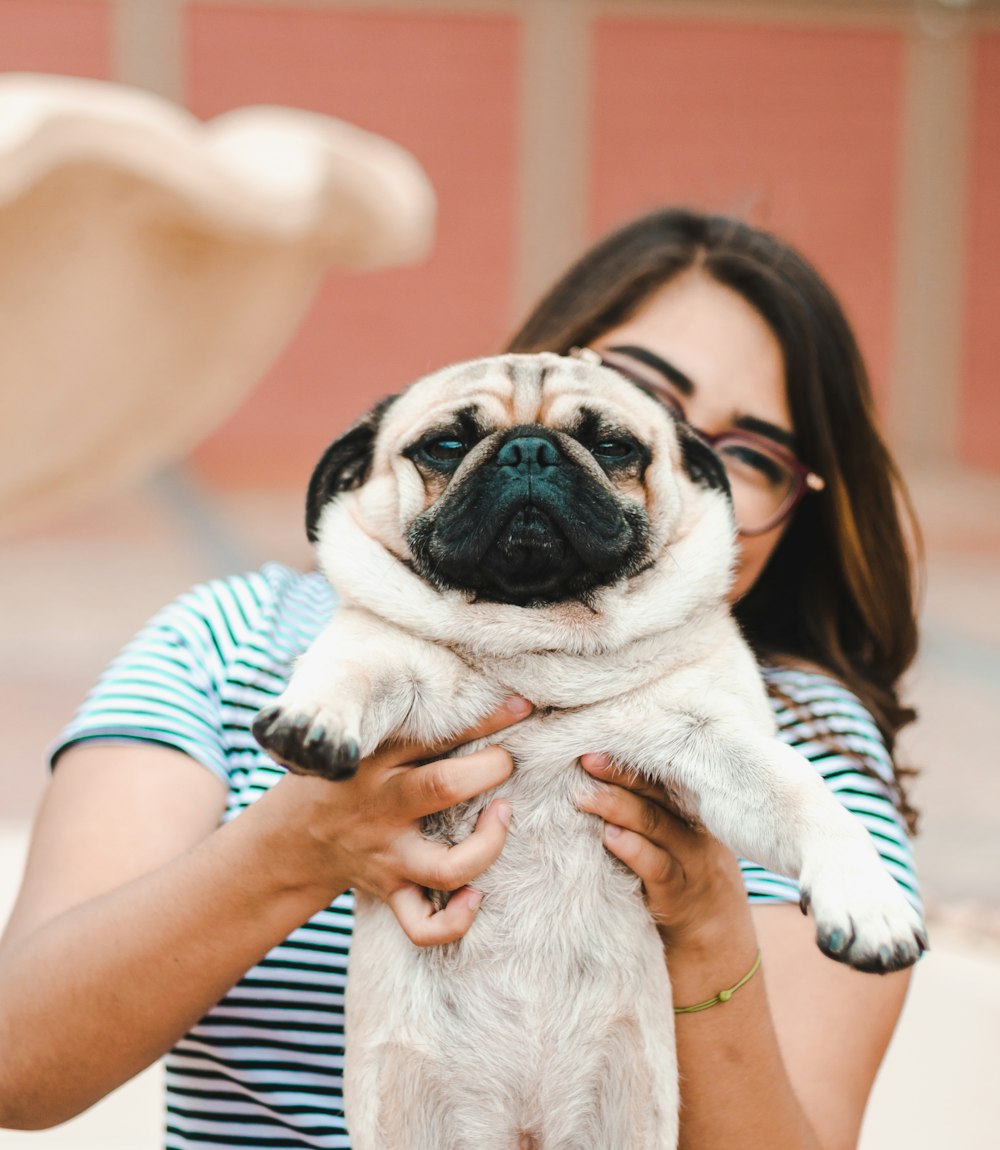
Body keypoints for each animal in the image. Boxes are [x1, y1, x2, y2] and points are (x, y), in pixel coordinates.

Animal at [254, 351, 928, 1150]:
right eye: (444, 447)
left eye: (612, 447)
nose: (528, 450)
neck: (537, 644)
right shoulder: (387, 652)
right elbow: (351, 666)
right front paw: (313, 716)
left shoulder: (711, 738)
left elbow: (805, 798)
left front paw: (867, 899)